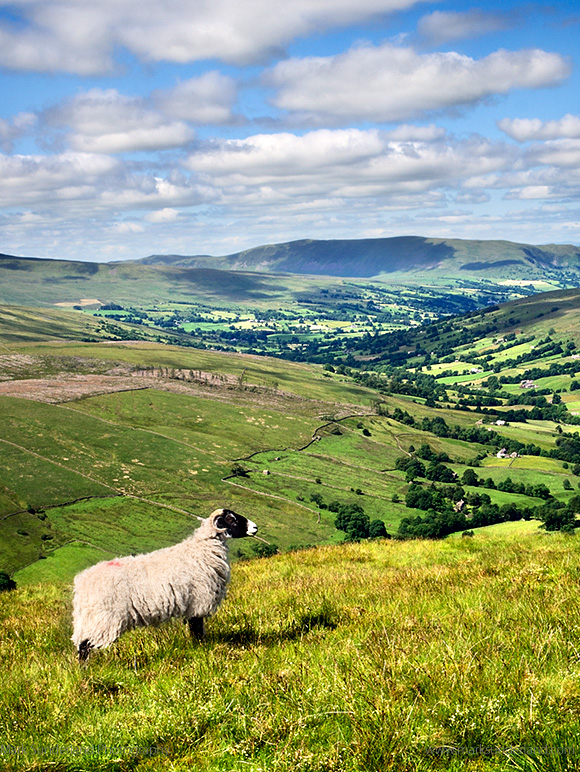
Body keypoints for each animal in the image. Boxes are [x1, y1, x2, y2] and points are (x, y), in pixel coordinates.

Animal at [71, 508, 257, 662]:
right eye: (231, 519)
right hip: (104, 618)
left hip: (92, 619)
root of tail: (82, 583)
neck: (203, 549)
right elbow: (197, 629)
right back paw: (85, 670)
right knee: (85, 645)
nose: (255, 527)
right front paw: (200, 649)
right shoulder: (198, 601)